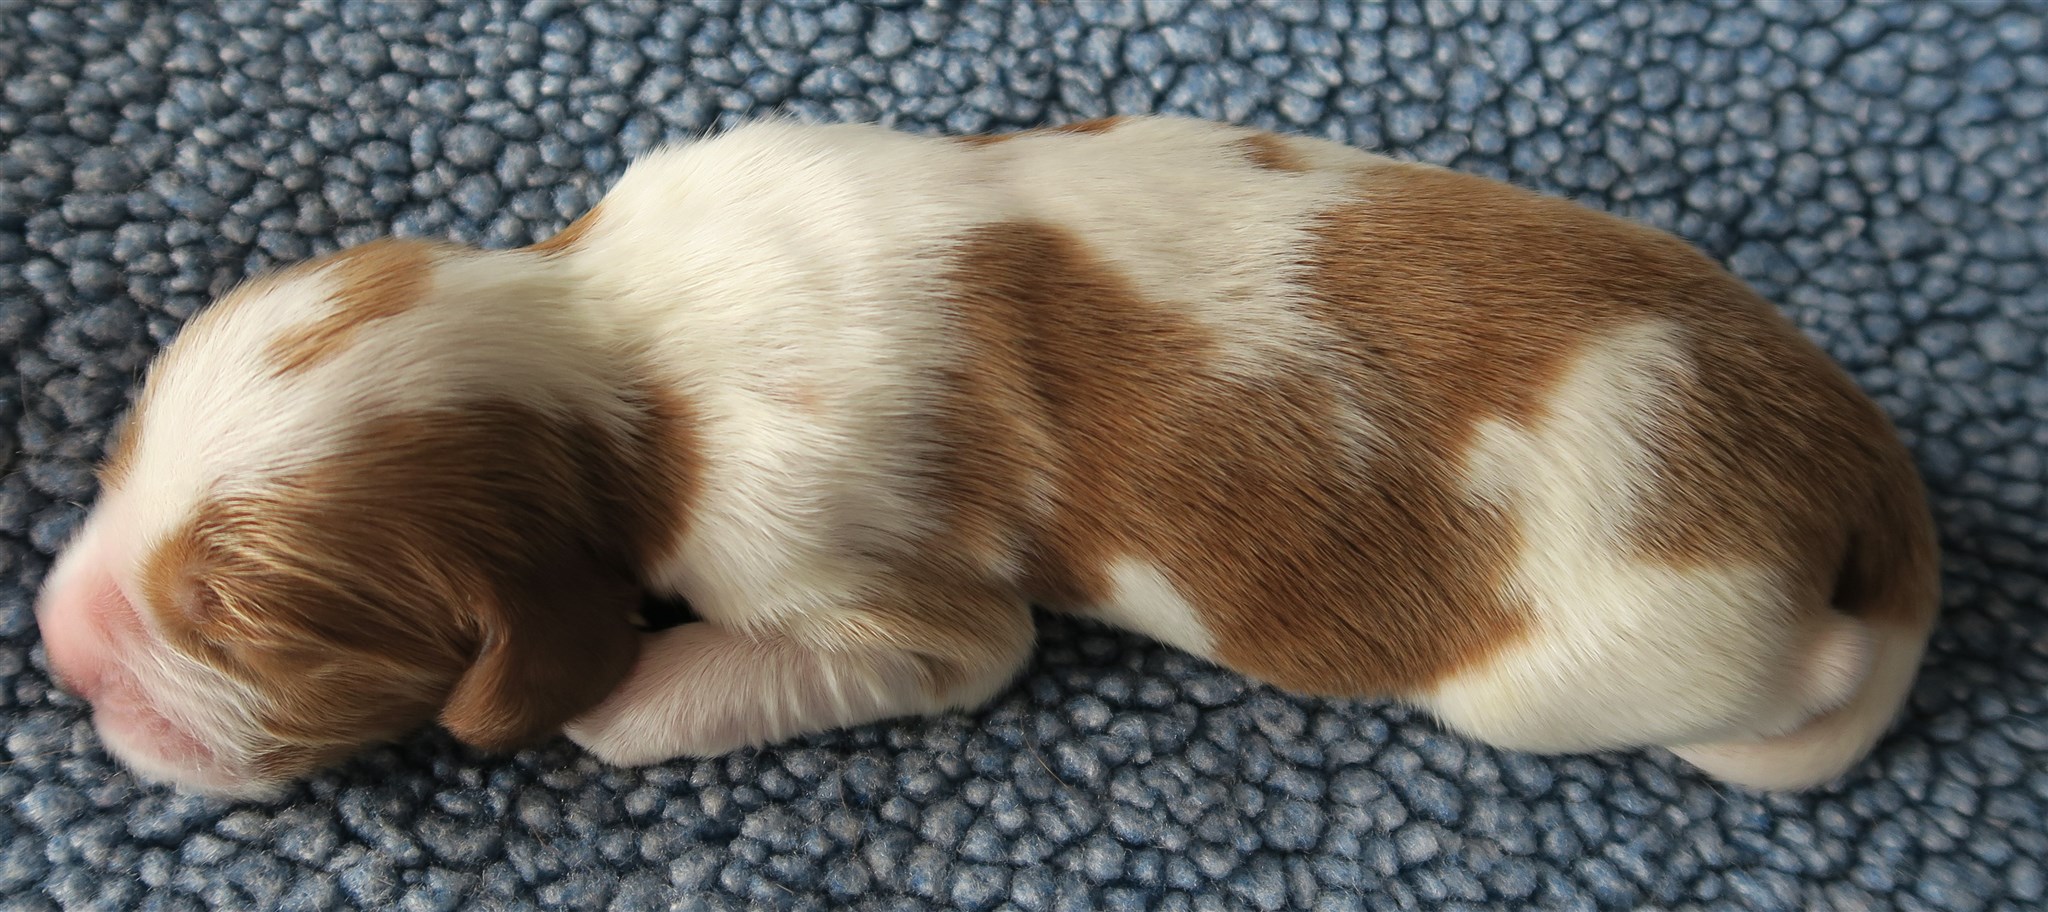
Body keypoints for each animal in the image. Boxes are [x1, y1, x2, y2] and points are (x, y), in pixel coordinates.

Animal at [34, 117, 1938, 799]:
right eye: (114, 456)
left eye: (244, 620)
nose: (53, 645)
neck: (618, 343)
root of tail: (1845, 452)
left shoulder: (875, 593)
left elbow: (860, 660)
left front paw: (630, 694)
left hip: (1600, 664)